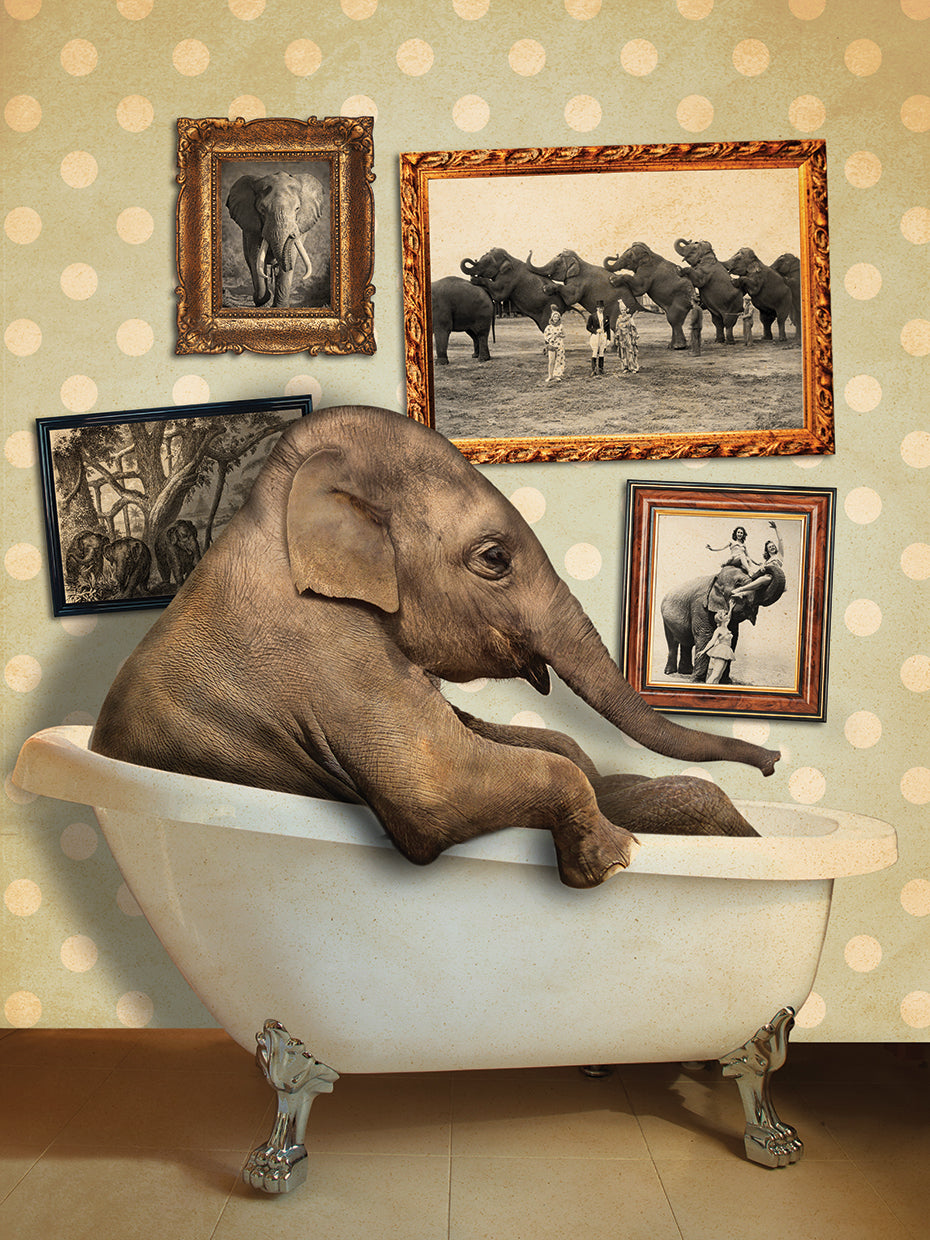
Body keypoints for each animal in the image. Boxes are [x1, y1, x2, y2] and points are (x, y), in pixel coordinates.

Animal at [92, 406, 780, 892]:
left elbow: (562, 749)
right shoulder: (330, 651)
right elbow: (434, 792)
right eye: (495, 559)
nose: (773, 761)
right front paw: (617, 861)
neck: (275, 510)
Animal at [226, 171, 325, 308]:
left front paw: (280, 307)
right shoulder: (251, 227)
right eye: (262, 210)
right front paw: (262, 300)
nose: (292, 235)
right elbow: (255, 256)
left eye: (297, 209)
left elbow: (291, 254)